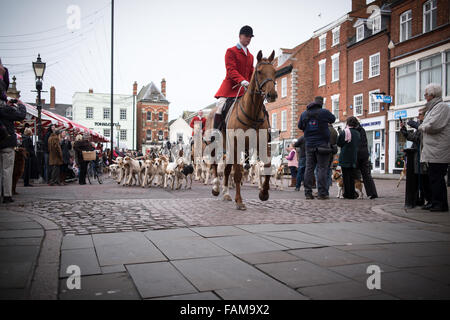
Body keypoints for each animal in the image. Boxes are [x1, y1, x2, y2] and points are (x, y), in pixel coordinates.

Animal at [205, 50, 276, 210]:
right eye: (259, 71)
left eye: (274, 71)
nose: (272, 95)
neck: (253, 112)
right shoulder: (237, 145)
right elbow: (237, 173)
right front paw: (239, 201)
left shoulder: (262, 145)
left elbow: (267, 166)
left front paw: (264, 194)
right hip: (215, 145)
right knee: (214, 165)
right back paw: (216, 187)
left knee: (226, 169)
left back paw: (226, 193)